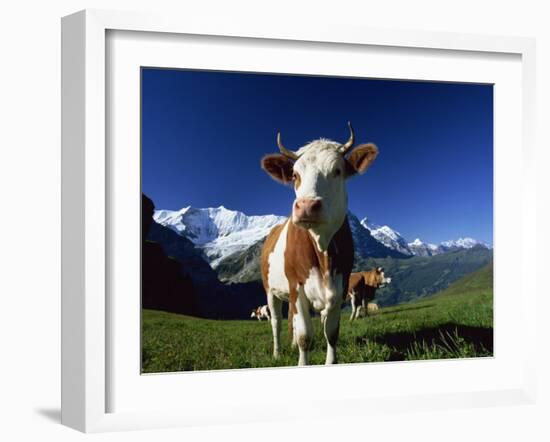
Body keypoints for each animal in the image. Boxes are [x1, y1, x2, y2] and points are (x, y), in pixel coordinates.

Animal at [260, 122, 382, 364]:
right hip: (271, 290)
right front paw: (301, 361)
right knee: (276, 322)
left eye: (337, 171)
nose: (307, 206)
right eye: (295, 175)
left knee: (291, 318)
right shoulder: (297, 287)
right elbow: (305, 336)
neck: (323, 250)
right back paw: (277, 352)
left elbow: (331, 333)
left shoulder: (340, 288)